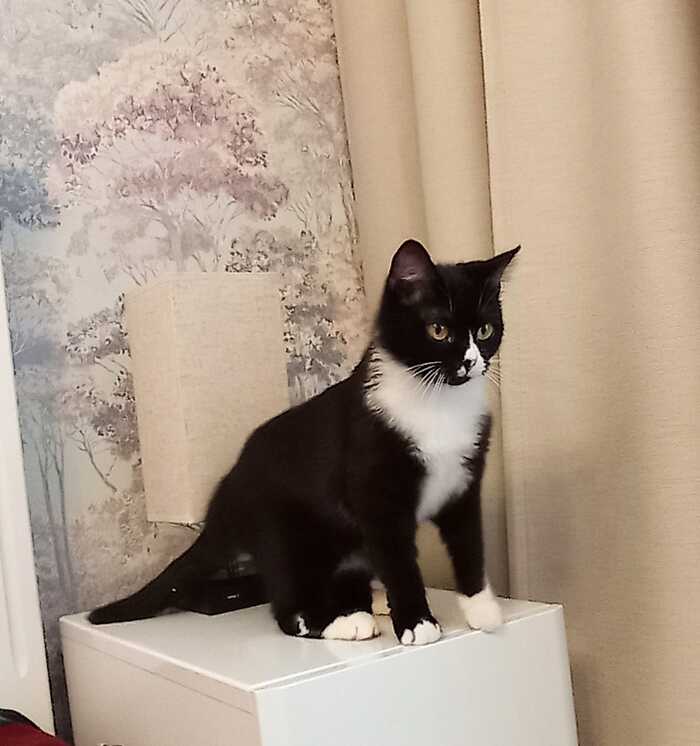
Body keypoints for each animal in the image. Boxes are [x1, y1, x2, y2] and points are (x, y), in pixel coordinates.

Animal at [89, 239, 520, 646]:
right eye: (438, 330)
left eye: (484, 330)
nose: (470, 362)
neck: (435, 400)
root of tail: (224, 499)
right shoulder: (375, 487)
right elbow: (399, 561)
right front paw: (417, 621)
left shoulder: (463, 479)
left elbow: (469, 543)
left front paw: (481, 609)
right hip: (285, 529)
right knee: (288, 601)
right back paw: (343, 621)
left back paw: (369, 601)